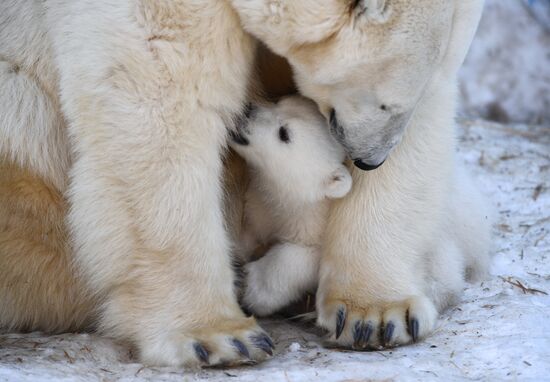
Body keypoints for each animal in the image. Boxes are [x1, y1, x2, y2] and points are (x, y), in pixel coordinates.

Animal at [230, 96, 352, 316]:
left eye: (284, 133)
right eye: (279, 101)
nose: (247, 110)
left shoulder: (316, 225)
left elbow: (303, 256)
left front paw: (252, 287)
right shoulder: (258, 205)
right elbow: (250, 230)